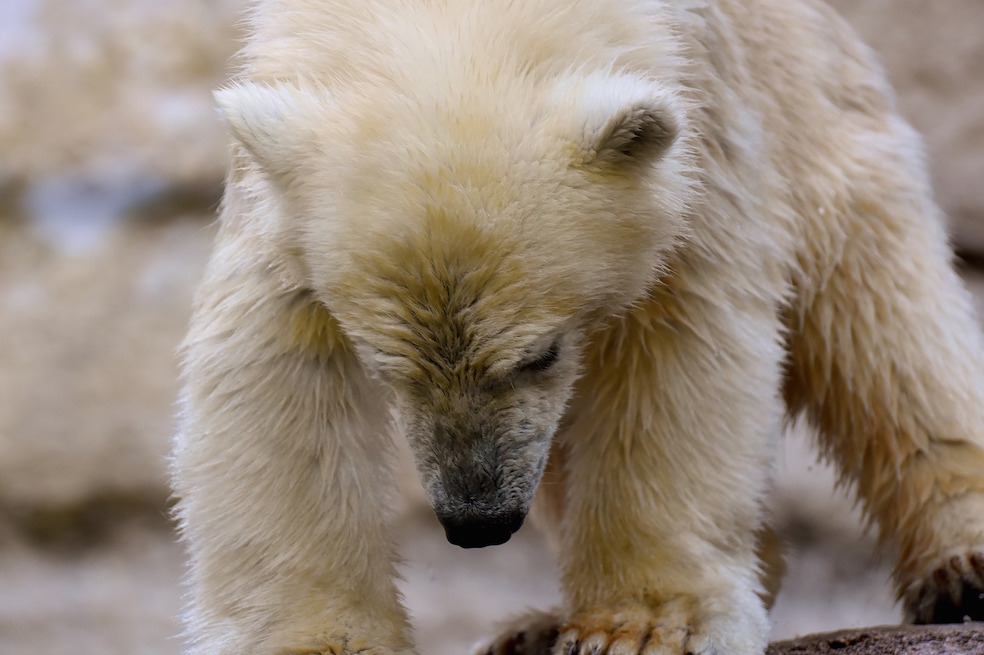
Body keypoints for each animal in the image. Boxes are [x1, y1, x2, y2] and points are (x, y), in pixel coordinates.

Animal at [171, 0, 984, 654]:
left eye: (542, 352)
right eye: (387, 367)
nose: (479, 521)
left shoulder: (697, 139)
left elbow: (678, 347)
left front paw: (643, 627)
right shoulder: (275, 206)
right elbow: (274, 379)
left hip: (818, 107)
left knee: (880, 317)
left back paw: (963, 570)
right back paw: (531, 630)